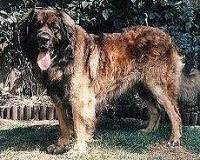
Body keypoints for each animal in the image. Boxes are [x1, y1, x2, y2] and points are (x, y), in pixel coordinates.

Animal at [17, 8, 200, 154]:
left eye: (55, 28)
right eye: (37, 26)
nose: (43, 39)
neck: (63, 58)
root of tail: (168, 38)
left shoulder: (79, 99)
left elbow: (78, 124)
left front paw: (78, 149)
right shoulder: (58, 99)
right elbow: (63, 125)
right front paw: (60, 146)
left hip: (157, 86)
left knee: (174, 113)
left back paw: (175, 139)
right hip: (143, 86)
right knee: (156, 110)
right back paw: (148, 131)